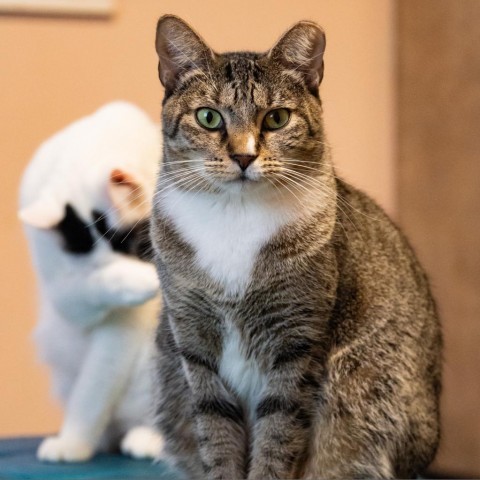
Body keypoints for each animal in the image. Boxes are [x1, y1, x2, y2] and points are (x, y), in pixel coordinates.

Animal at [152, 15, 440, 480]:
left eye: (277, 118)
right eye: (209, 117)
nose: (244, 157)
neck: (236, 216)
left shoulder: (298, 341)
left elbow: (278, 432)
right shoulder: (193, 341)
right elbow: (215, 429)